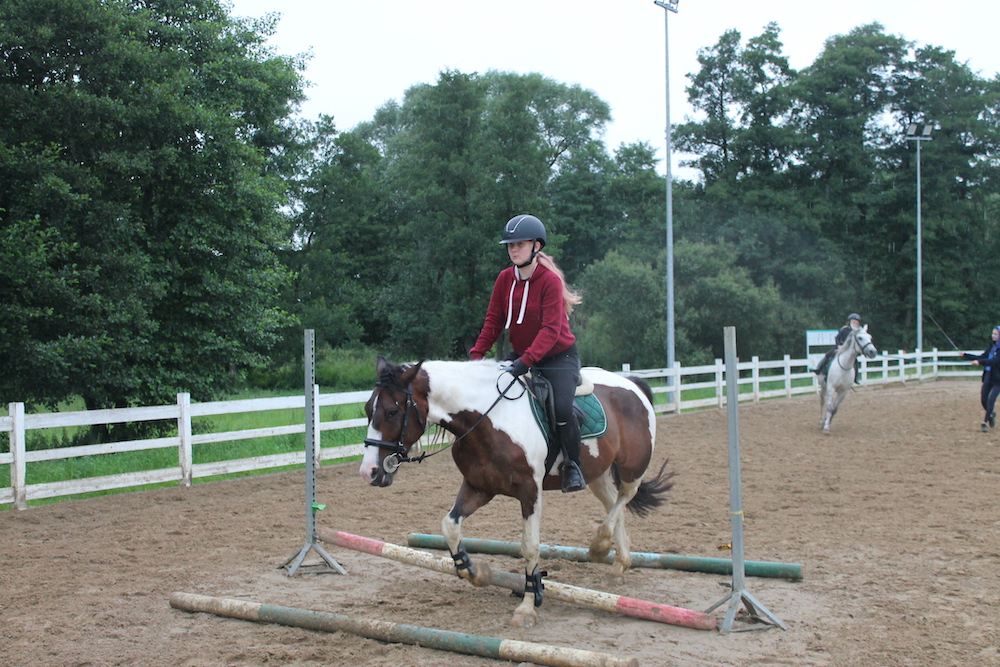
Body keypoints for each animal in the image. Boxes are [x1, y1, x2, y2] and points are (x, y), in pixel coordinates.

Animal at [360, 356, 673, 628]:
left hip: (632, 467)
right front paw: (475, 572)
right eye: (367, 410)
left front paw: (527, 605)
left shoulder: (530, 492)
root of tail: (632, 383)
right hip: (596, 473)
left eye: (392, 412)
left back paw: (600, 545)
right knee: (612, 503)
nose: (369, 472)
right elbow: (449, 525)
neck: (489, 419)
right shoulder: (478, 487)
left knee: (625, 496)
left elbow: (530, 546)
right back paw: (619, 564)